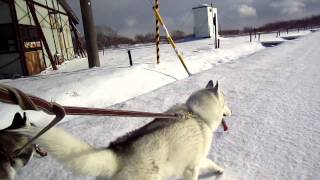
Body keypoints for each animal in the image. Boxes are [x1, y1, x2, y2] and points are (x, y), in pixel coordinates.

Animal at [23, 80, 232, 180]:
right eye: (226, 102)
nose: (232, 112)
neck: (196, 114)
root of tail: (117, 155)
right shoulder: (191, 168)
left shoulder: (198, 161)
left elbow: (211, 163)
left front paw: (219, 170)